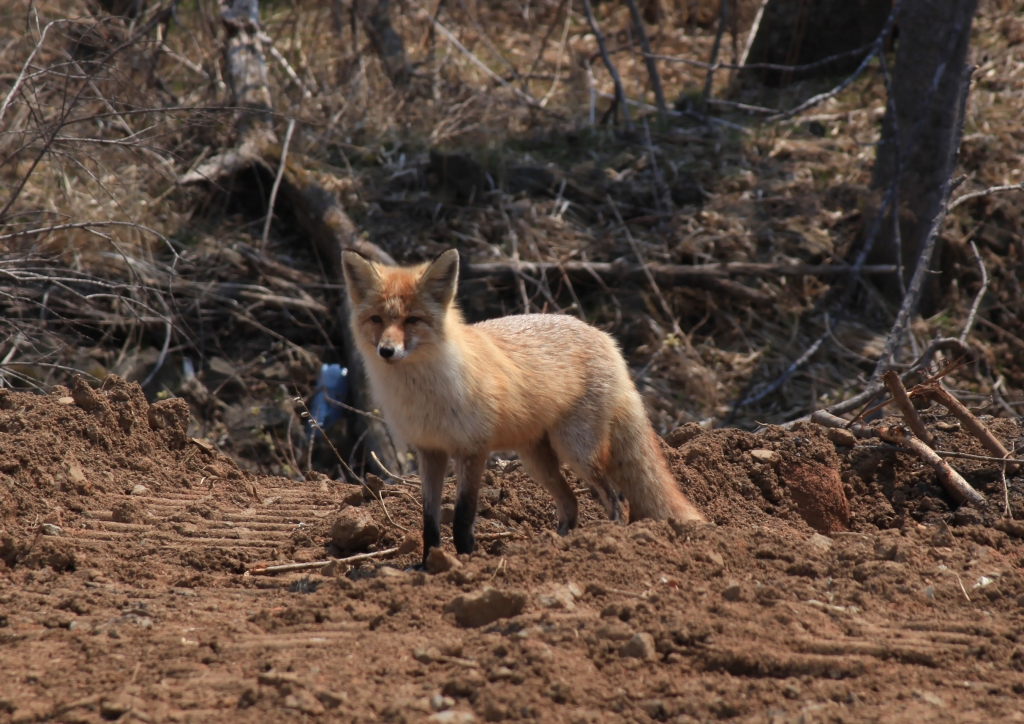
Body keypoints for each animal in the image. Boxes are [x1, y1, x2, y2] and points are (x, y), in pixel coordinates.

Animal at [342, 247, 704, 565]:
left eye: (412, 320)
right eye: (377, 319)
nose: (386, 351)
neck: (424, 395)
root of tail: (605, 337)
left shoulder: (472, 450)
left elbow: (462, 517)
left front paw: (466, 560)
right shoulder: (430, 451)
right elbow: (429, 522)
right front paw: (426, 564)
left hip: (577, 451)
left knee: (616, 498)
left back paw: (606, 541)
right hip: (537, 461)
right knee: (571, 504)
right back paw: (554, 547)